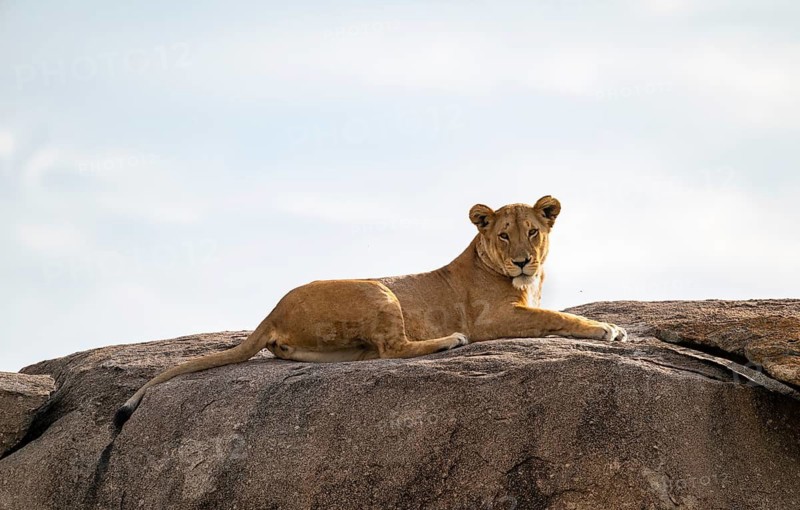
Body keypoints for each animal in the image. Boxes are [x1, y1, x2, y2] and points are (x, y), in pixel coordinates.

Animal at [115, 196, 627, 427]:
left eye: (533, 231)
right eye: (504, 235)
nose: (523, 260)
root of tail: (273, 311)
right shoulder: (491, 321)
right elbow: (558, 317)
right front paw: (609, 329)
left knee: (373, 353)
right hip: (379, 290)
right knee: (393, 348)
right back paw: (448, 341)